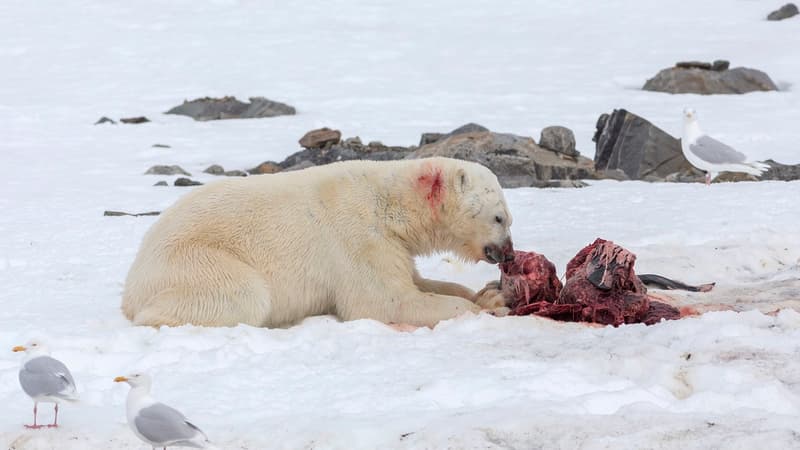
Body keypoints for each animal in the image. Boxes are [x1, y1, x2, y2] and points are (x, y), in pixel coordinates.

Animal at [122, 157, 516, 326]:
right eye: (499, 217)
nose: (509, 253)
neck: (390, 203)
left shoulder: (392, 244)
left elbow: (416, 281)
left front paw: (486, 294)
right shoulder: (358, 238)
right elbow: (385, 301)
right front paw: (491, 307)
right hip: (194, 261)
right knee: (242, 294)